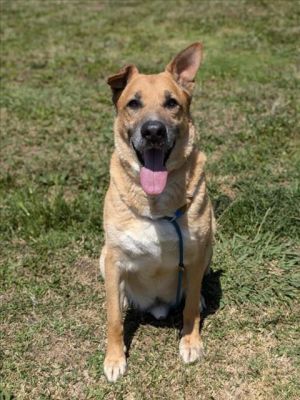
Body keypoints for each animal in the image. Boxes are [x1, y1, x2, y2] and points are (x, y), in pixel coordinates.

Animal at [101, 43, 216, 382]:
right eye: (133, 103)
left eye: (171, 103)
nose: (153, 131)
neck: (155, 203)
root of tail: (157, 306)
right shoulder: (113, 259)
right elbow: (114, 318)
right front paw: (115, 359)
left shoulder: (195, 253)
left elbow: (190, 308)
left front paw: (190, 341)